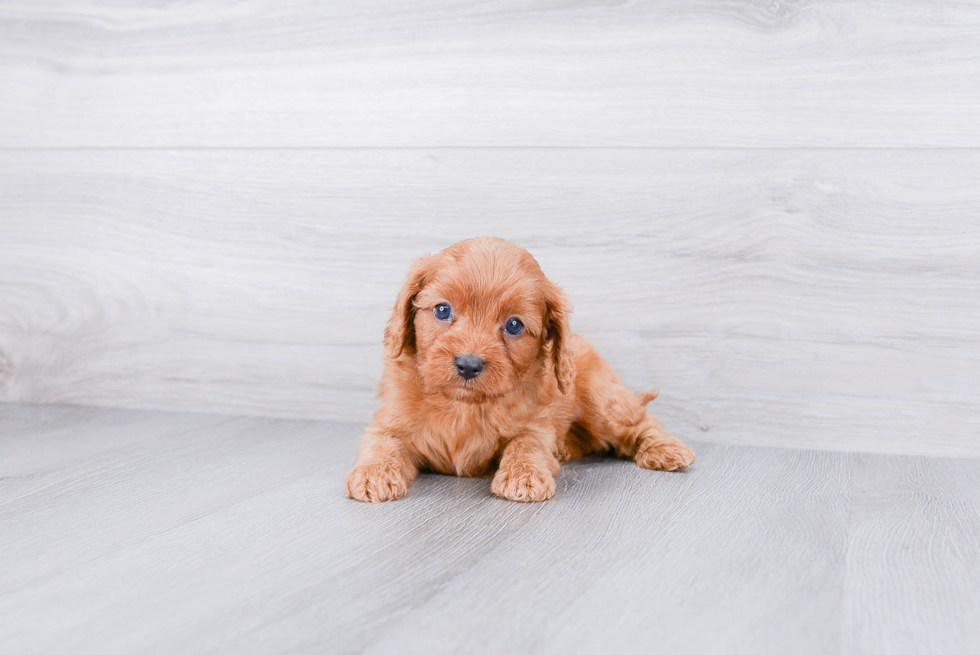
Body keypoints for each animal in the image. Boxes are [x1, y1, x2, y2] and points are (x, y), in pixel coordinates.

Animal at [346, 238, 696, 504]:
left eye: (514, 325)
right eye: (442, 310)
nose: (468, 364)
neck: (463, 404)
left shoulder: (535, 424)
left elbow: (527, 444)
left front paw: (524, 476)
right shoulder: (389, 420)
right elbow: (381, 443)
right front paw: (373, 474)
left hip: (603, 402)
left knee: (640, 421)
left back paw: (666, 449)